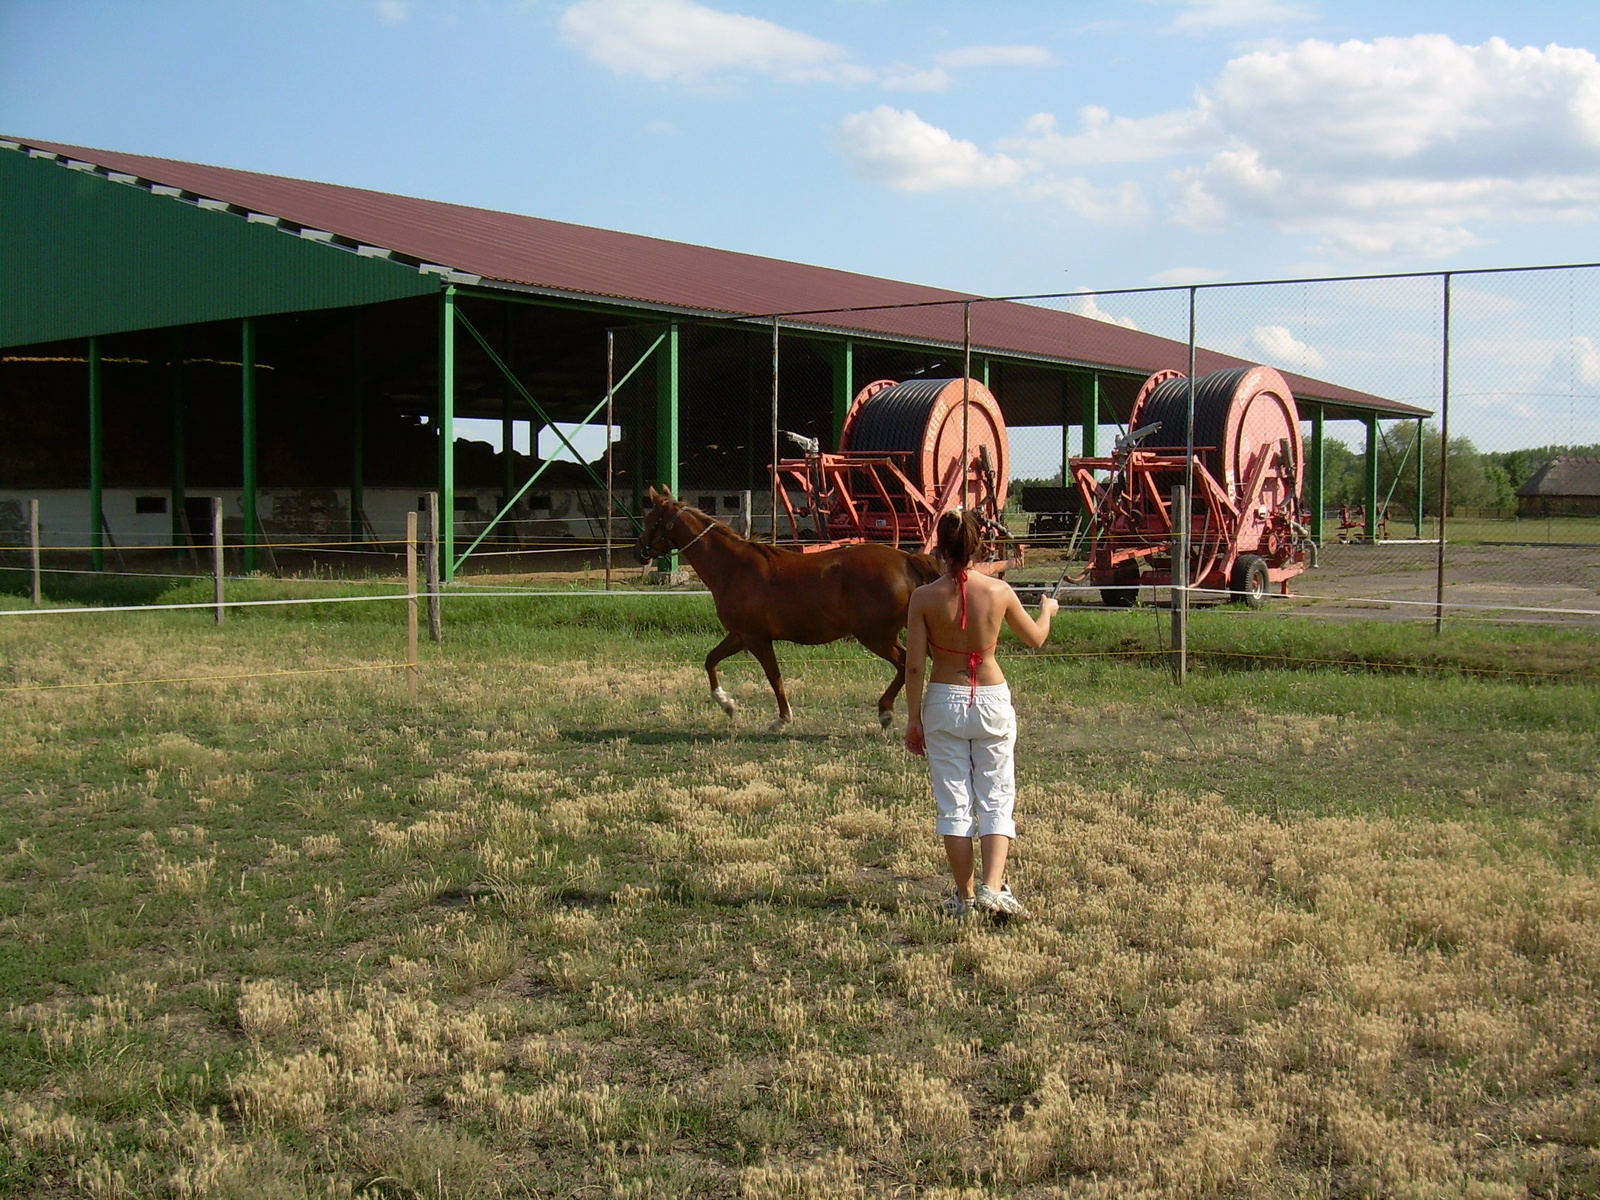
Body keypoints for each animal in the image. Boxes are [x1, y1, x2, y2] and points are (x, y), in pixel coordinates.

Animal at [633, 489, 934, 732]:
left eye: (649, 521)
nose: (639, 552)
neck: (733, 567)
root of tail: (907, 559)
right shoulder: (740, 635)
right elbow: (710, 660)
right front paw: (727, 704)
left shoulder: (755, 638)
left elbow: (774, 676)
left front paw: (781, 719)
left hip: (876, 636)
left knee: (906, 664)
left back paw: (885, 713)